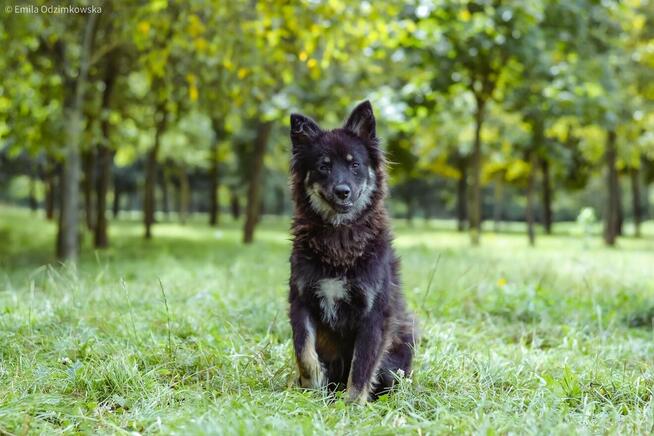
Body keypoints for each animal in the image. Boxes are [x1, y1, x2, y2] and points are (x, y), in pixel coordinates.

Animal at [290, 100, 418, 404]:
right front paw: (311, 389)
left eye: (355, 165)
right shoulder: (301, 300)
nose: (342, 191)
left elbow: (361, 366)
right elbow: (304, 352)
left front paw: (352, 405)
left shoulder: (374, 313)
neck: (338, 237)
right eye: (323, 166)